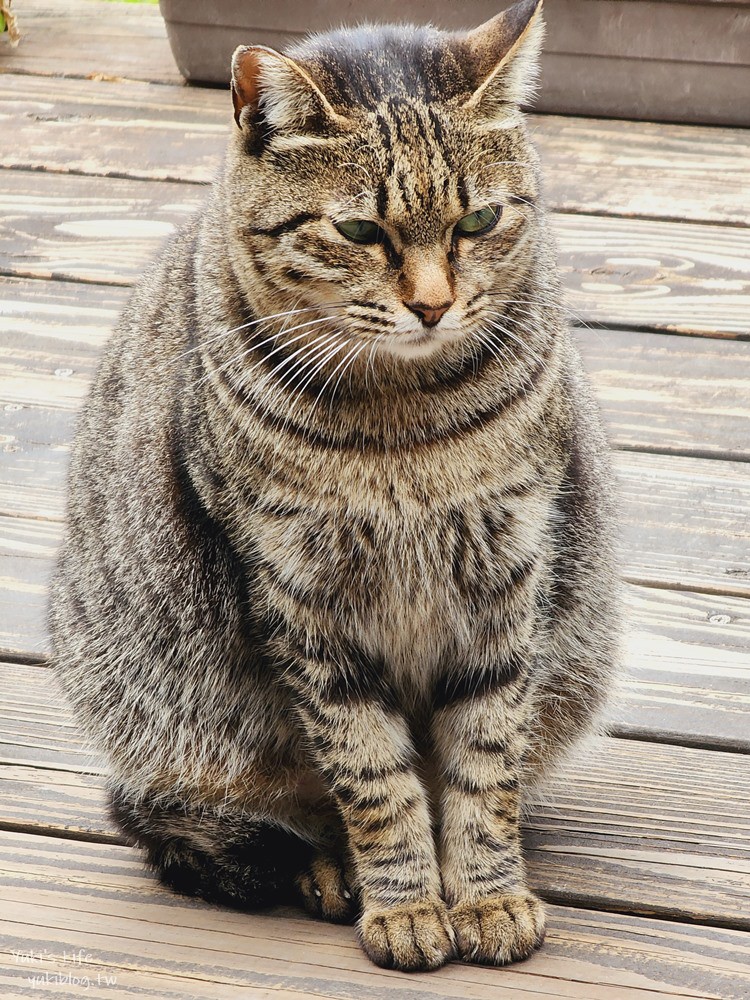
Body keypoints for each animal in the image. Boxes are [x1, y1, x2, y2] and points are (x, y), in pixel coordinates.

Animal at [50, 0, 620, 968]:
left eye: (478, 221)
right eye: (359, 232)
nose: (432, 305)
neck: (406, 423)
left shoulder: (508, 574)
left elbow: (484, 761)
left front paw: (487, 893)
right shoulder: (301, 597)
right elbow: (372, 776)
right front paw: (406, 902)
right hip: (164, 712)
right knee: (241, 811)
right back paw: (330, 871)